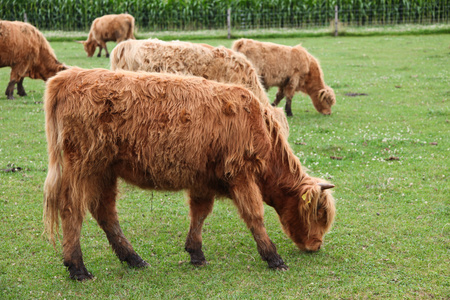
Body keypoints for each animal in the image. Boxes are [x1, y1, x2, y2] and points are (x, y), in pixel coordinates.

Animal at [44, 68, 336, 282]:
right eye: (319, 214)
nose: (316, 245)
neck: (258, 127)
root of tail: (69, 76)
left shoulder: (203, 180)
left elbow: (200, 214)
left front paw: (196, 253)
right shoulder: (241, 175)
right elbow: (255, 216)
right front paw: (273, 257)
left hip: (104, 171)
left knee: (105, 212)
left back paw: (133, 259)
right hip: (83, 167)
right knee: (71, 210)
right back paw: (78, 268)